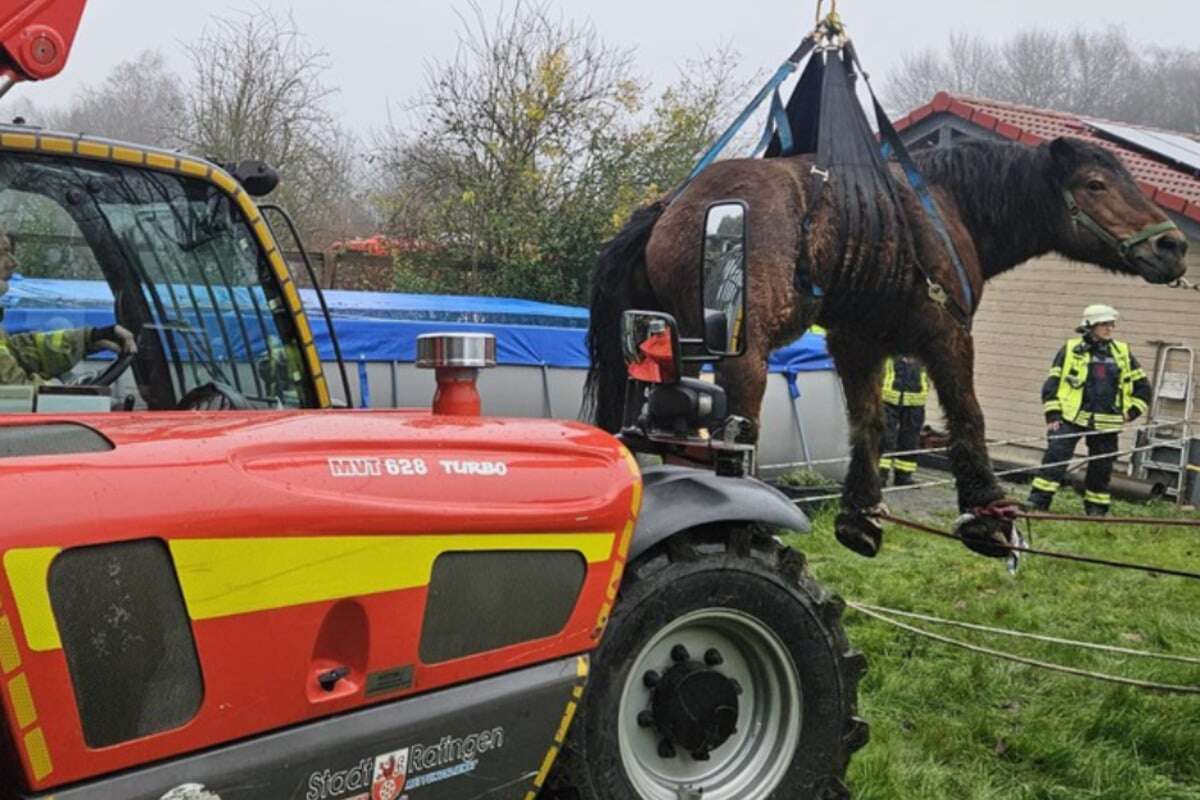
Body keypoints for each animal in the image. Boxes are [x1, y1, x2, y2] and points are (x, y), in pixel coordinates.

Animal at [585, 18, 1185, 556]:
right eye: (1095, 184)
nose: (1172, 245)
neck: (947, 209)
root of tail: (668, 208)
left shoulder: (859, 342)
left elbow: (868, 422)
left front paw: (861, 515)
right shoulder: (947, 332)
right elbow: (967, 414)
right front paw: (987, 516)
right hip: (740, 353)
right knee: (737, 432)